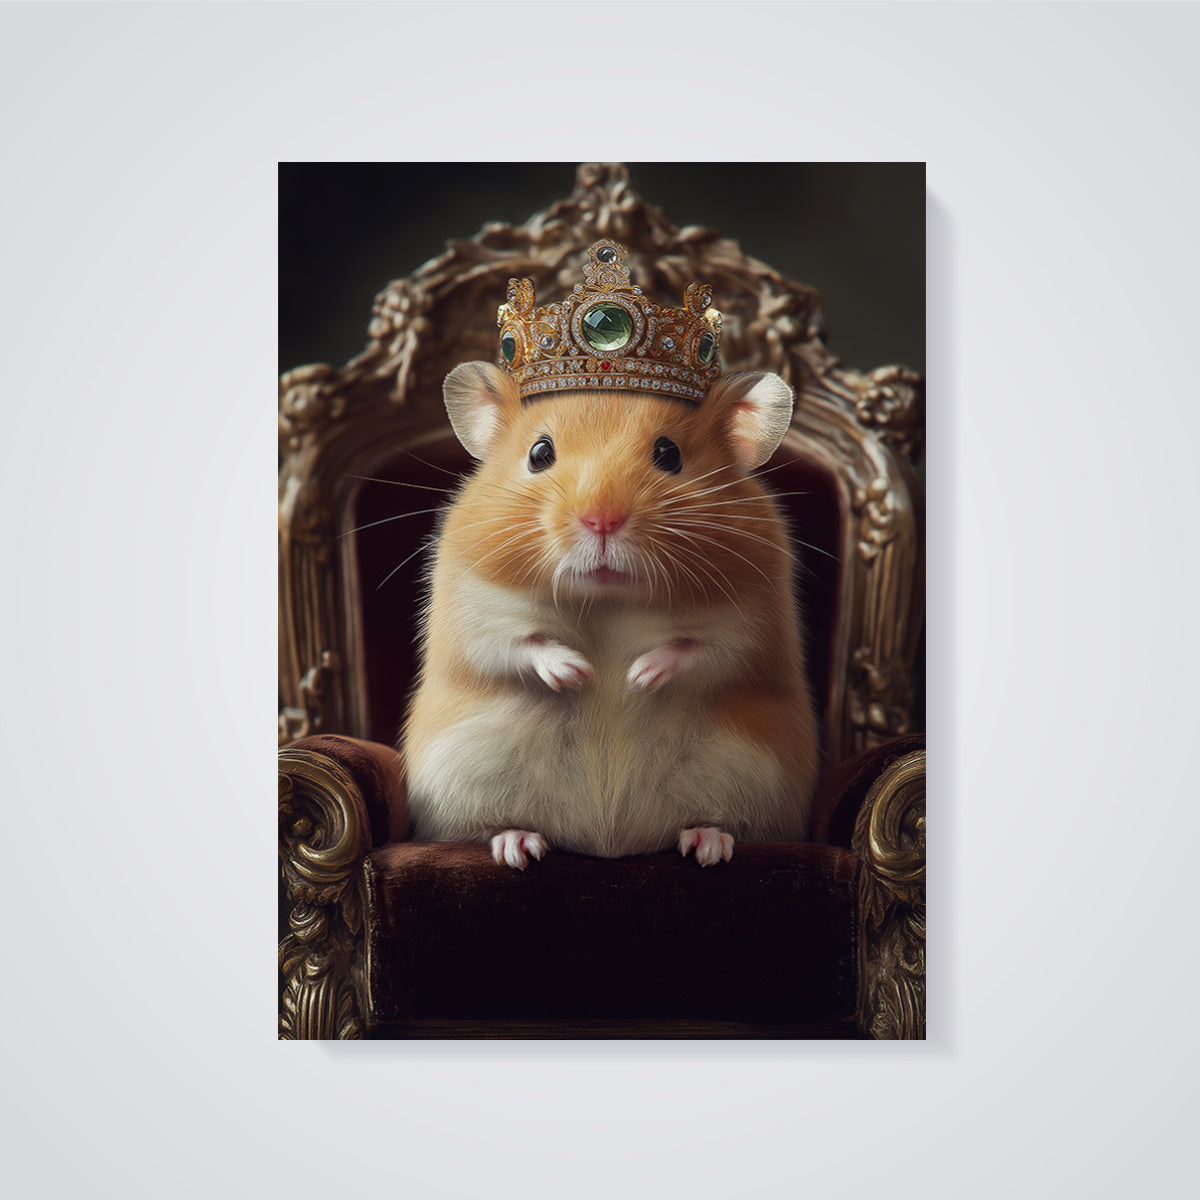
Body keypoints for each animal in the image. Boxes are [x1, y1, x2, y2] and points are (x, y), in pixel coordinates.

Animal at [400, 361, 820, 868]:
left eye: (669, 454)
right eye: (539, 454)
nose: (601, 521)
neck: (607, 597)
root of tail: (610, 843)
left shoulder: (750, 625)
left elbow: (698, 648)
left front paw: (636, 677)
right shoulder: (474, 614)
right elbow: (521, 643)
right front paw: (579, 673)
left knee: (721, 823)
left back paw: (708, 845)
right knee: (486, 828)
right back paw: (518, 846)